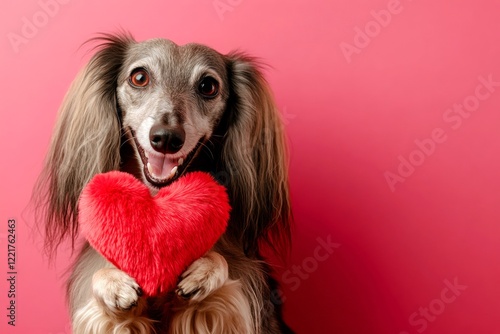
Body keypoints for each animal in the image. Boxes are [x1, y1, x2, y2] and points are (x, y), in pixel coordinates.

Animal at [33, 33, 292, 334]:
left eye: (208, 86)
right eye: (139, 77)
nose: (166, 138)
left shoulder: (237, 302)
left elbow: (224, 274)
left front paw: (207, 270)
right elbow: (100, 286)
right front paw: (112, 282)